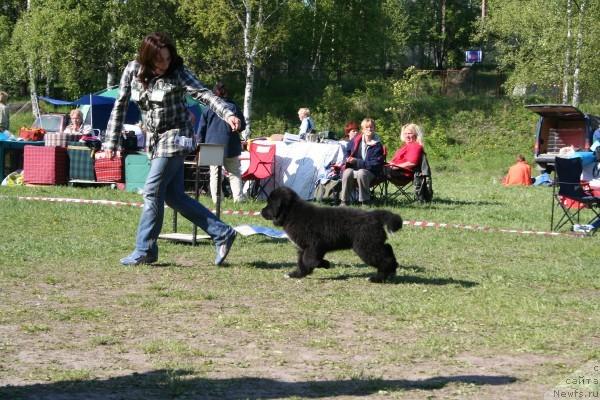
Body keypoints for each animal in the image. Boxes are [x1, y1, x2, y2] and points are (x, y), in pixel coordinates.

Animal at [258, 187, 404, 282]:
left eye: (269, 203)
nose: (261, 212)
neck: (292, 213)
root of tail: (373, 215)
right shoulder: (303, 248)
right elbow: (303, 263)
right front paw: (297, 274)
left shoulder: (313, 246)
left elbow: (309, 260)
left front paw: (325, 264)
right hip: (372, 243)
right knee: (388, 249)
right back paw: (391, 270)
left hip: (365, 246)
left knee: (384, 259)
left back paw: (377, 278)